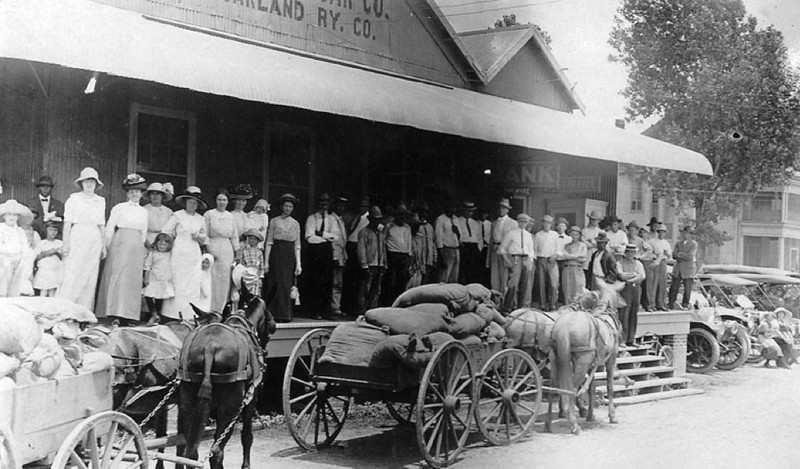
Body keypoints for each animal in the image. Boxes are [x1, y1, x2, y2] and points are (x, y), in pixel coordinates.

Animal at [177, 286, 276, 468]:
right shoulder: (250, 403)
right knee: (216, 452)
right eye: (272, 324)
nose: (265, 351)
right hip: (230, 408)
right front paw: (246, 465)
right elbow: (247, 437)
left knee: (189, 452)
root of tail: (209, 347)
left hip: (187, 404)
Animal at [548, 280, 628, 434]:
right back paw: (574, 425)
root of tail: (564, 327)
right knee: (572, 390)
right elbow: (610, 386)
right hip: (582, 363)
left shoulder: (593, 364)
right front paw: (612, 416)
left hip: (557, 360)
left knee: (554, 388)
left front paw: (590, 415)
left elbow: (591, 388)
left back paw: (547, 424)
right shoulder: (611, 359)